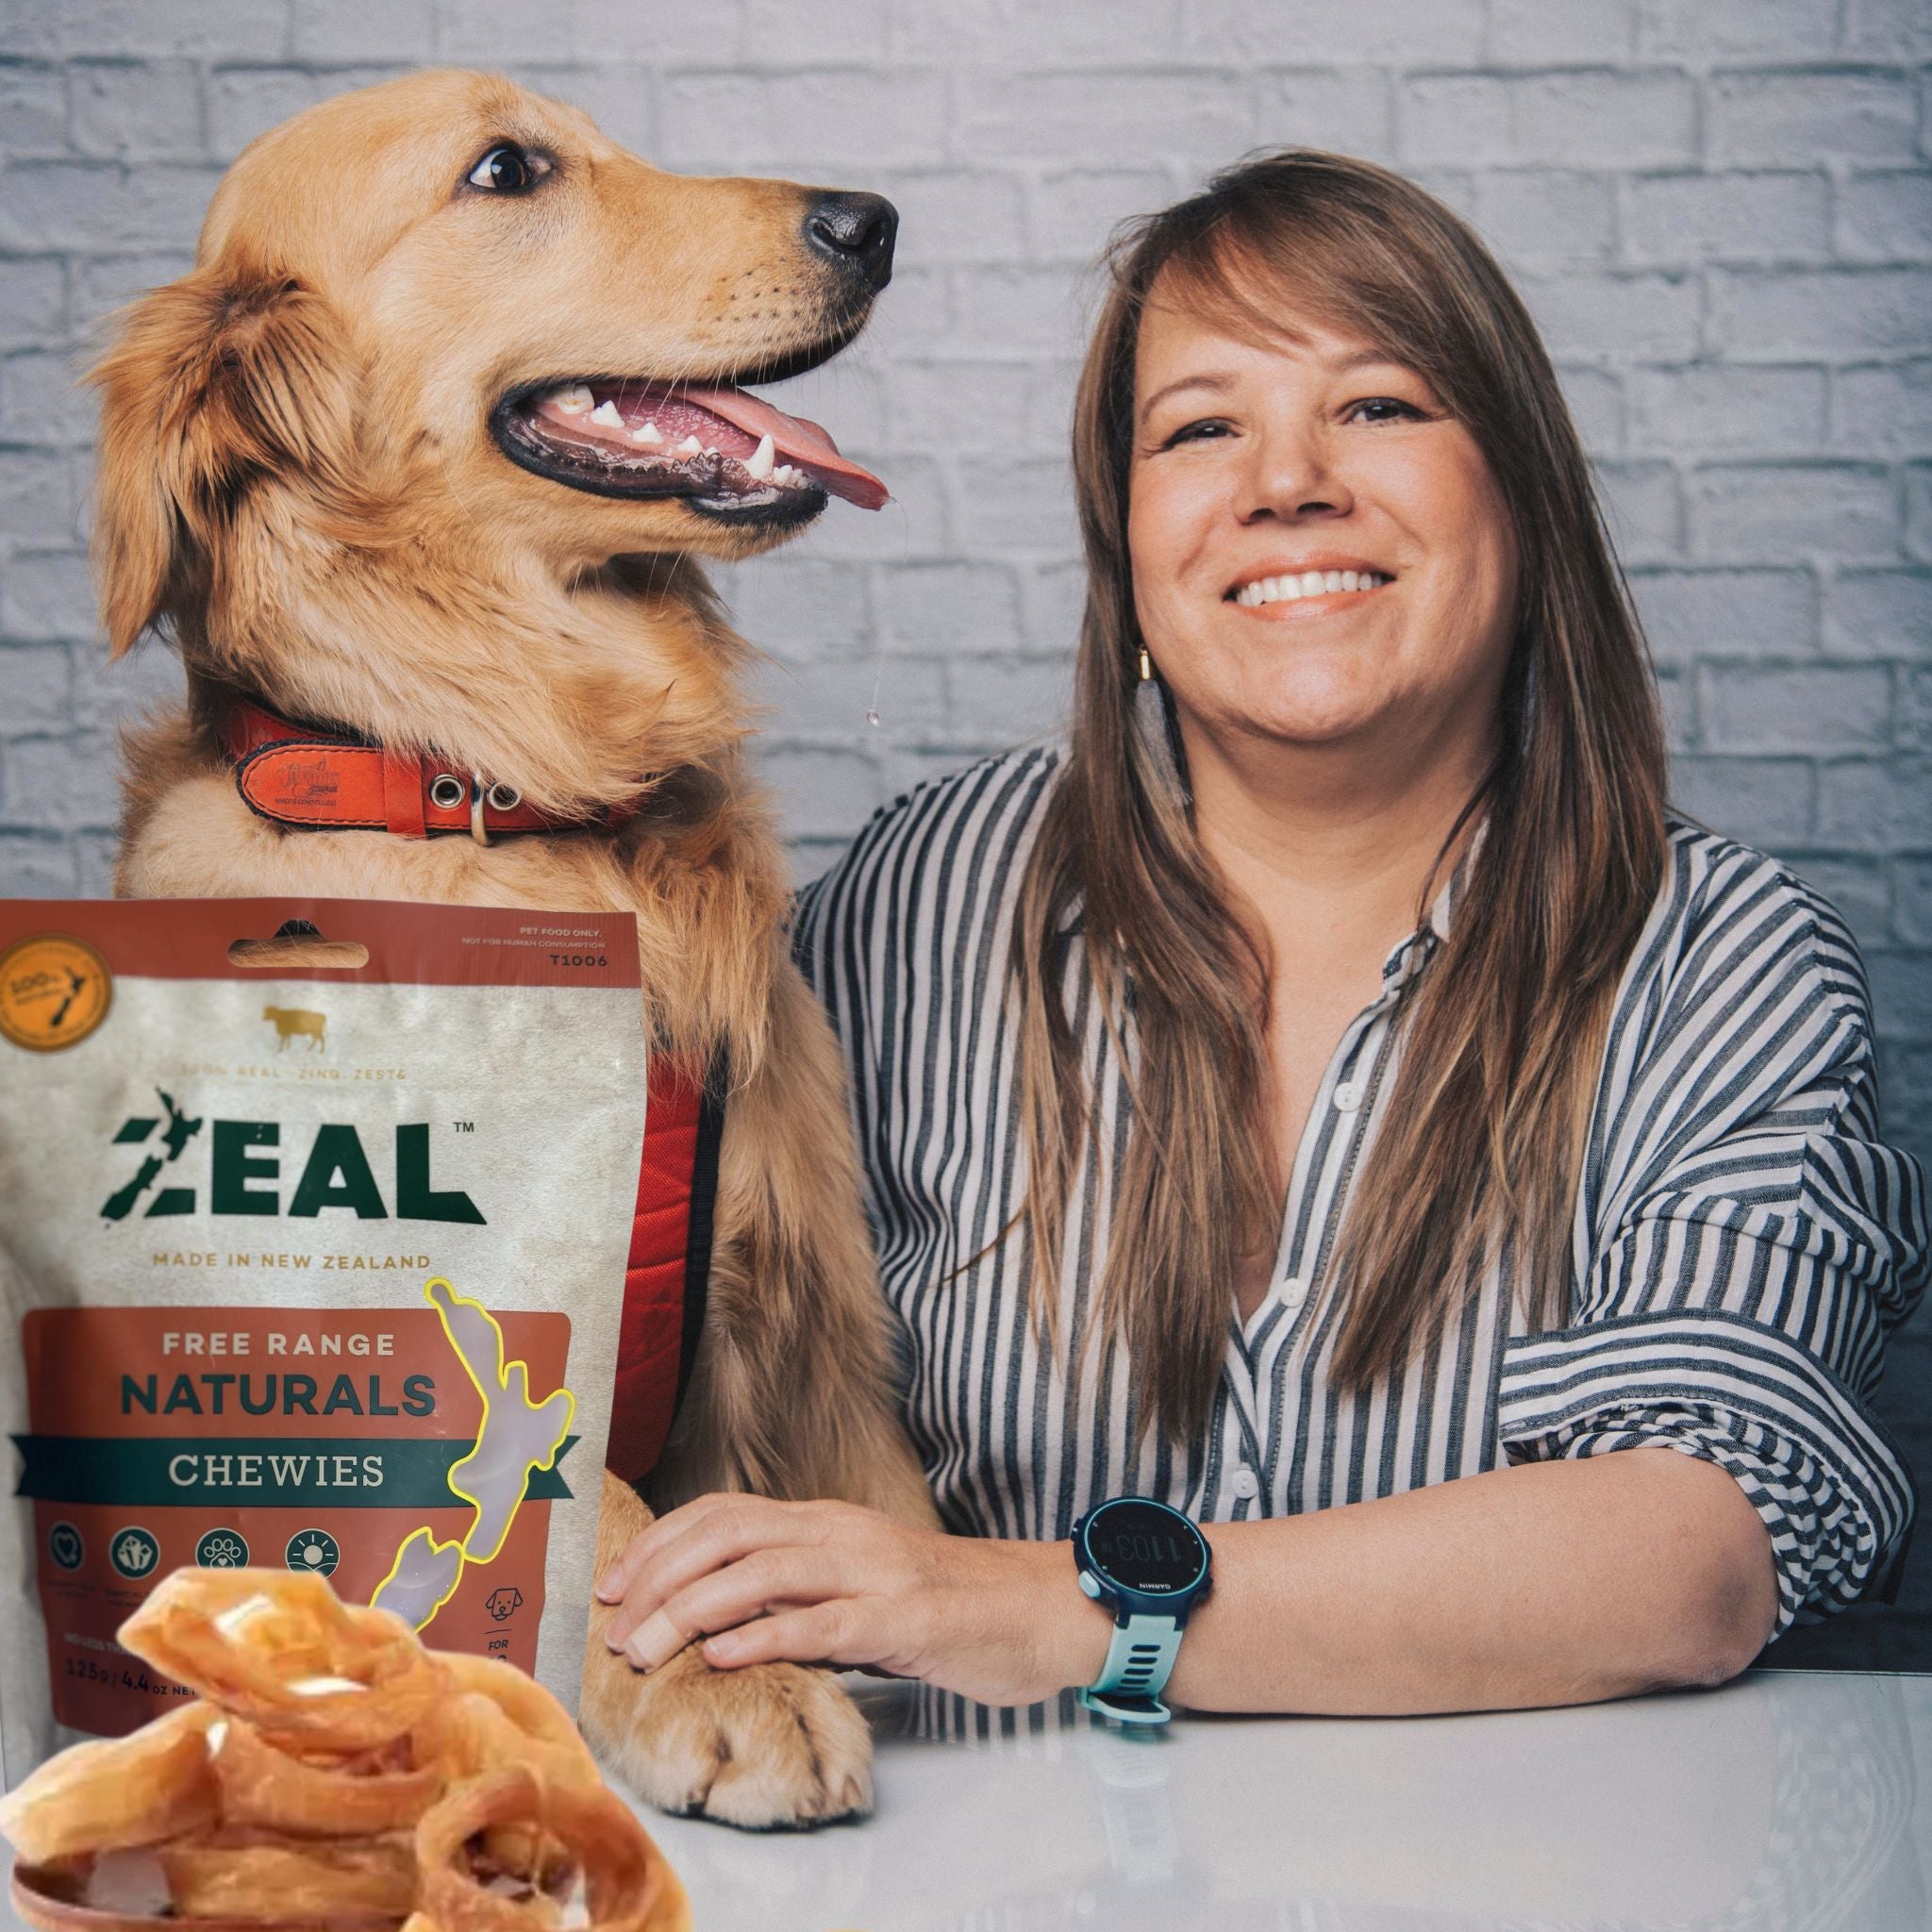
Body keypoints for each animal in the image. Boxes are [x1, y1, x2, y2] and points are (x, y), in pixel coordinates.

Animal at [83, 68, 935, 1831]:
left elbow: (877, 1499)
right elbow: (602, 1501)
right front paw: (731, 1679)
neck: (503, 787)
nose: (872, 220)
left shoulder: (806, 1297)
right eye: (505, 170)